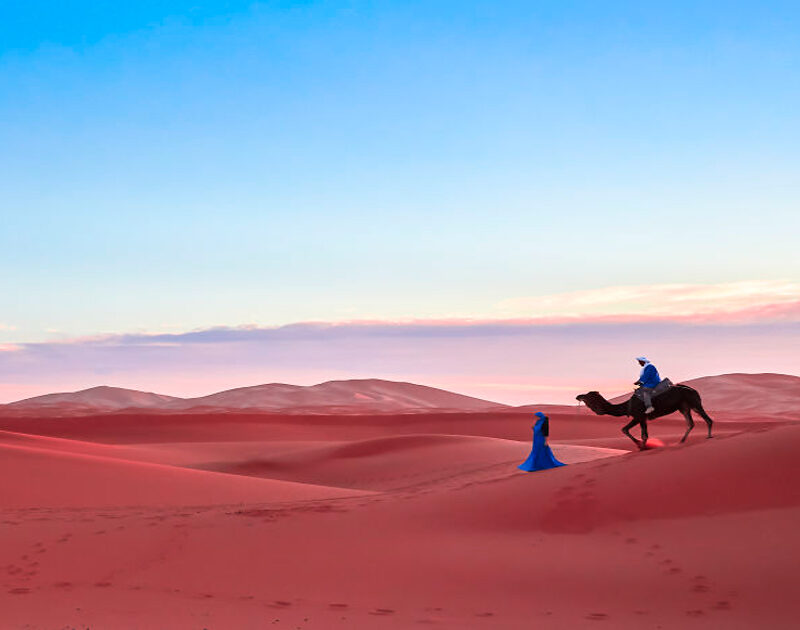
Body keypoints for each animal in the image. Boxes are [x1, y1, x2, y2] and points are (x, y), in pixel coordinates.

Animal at [576, 382, 712, 452]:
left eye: (588, 396)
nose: (578, 396)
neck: (627, 406)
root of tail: (693, 390)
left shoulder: (639, 416)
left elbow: (633, 432)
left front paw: (641, 446)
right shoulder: (642, 418)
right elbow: (633, 431)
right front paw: (642, 445)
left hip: (694, 402)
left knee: (706, 418)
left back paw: (709, 436)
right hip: (683, 407)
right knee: (690, 423)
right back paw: (681, 441)